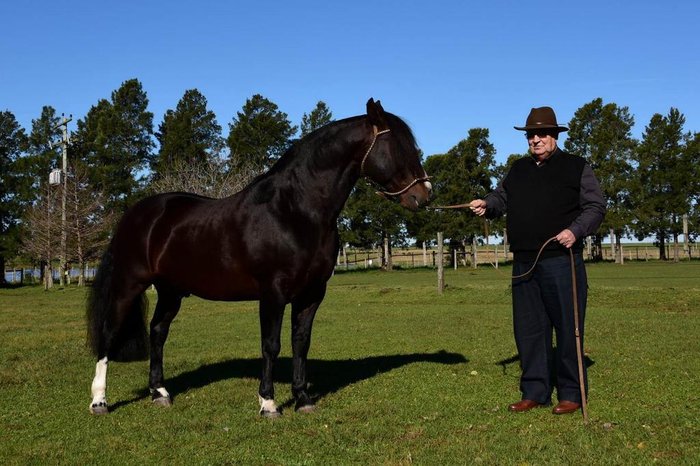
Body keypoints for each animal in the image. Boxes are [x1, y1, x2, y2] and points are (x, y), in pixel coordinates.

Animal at [87, 98, 432, 416]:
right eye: (398, 147)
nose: (423, 196)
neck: (294, 211)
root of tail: (136, 214)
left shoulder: (311, 294)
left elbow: (300, 343)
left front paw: (303, 399)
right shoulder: (273, 293)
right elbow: (271, 345)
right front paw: (268, 403)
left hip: (171, 291)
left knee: (158, 332)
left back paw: (159, 392)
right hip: (128, 285)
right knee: (109, 335)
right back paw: (99, 401)